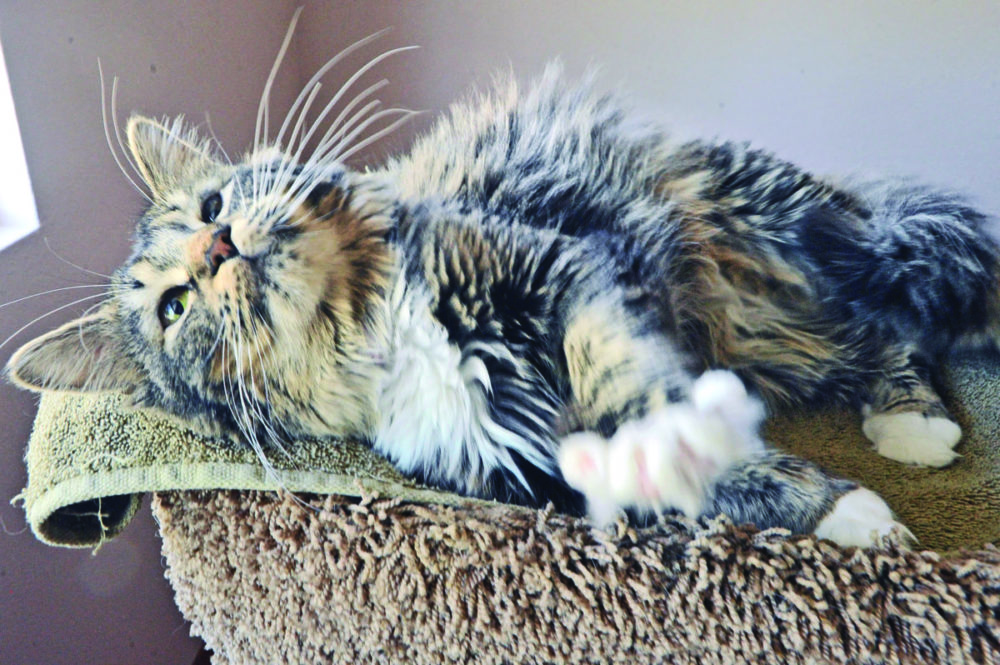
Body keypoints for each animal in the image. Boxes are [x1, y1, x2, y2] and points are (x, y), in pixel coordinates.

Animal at [9, 26, 1000, 548]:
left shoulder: (558, 272)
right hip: (766, 331)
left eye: (214, 202)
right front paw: (842, 511)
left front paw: (842, 506)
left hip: (791, 233)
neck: (376, 327)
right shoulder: (521, 463)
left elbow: (638, 393)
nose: (216, 246)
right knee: (868, 336)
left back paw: (915, 424)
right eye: (172, 308)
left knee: (895, 320)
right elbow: (688, 475)